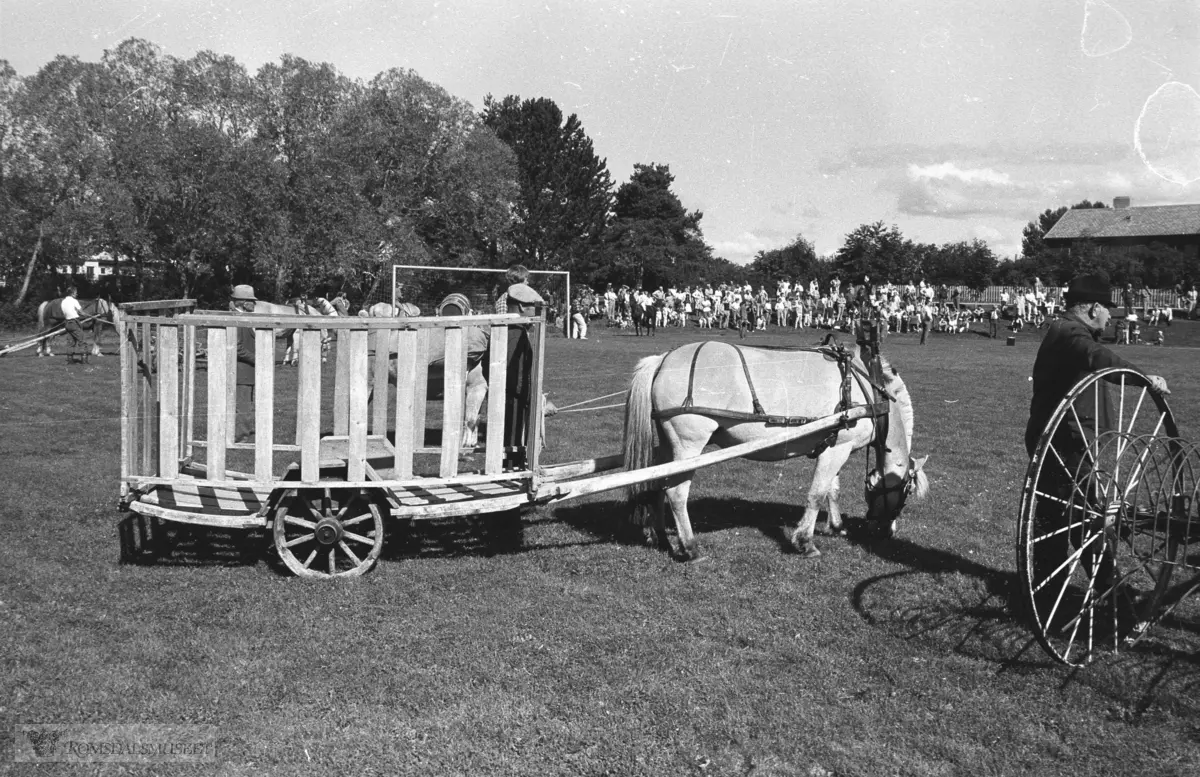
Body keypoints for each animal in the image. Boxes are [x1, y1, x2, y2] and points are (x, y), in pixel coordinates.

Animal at [624, 338, 931, 558]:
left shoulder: (835, 443)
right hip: (688, 446)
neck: (866, 383)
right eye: (906, 492)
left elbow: (831, 489)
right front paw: (805, 542)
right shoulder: (838, 448)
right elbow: (817, 493)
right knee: (676, 493)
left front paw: (836, 526)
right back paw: (689, 547)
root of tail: (662, 360)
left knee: (657, 484)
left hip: (669, 446)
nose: (888, 532)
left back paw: (660, 537)